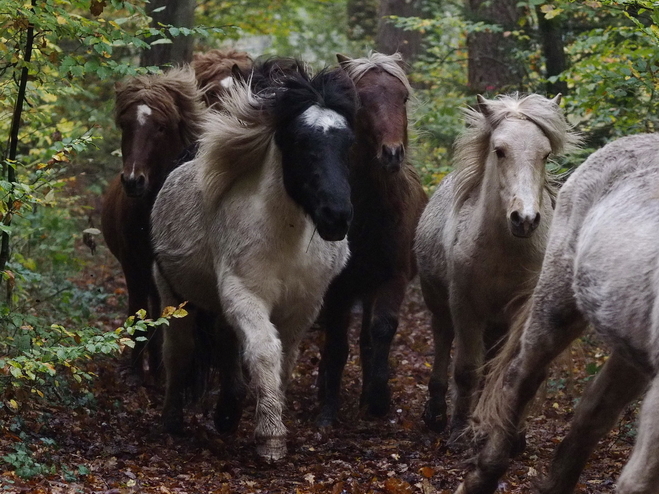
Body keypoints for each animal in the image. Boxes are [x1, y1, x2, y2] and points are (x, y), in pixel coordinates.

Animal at [101, 65, 206, 374]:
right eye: (125, 125)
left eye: (160, 127)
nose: (133, 181)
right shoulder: (131, 266)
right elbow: (138, 312)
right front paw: (136, 371)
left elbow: (160, 316)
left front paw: (157, 370)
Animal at [318, 52, 430, 426]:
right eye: (361, 101)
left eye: (403, 97)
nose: (392, 154)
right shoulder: (338, 287)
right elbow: (336, 344)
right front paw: (327, 410)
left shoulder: (392, 276)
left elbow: (382, 330)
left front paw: (378, 399)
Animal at [416, 92, 580, 440]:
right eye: (499, 150)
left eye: (545, 154)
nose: (525, 219)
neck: (503, 253)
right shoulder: (465, 307)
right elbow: (466, 370)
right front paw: (458, 431)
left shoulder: (519, 311)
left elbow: (507, 371)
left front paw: (507, 434)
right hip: (439, 305)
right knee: (442, 339)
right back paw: (436, 413)